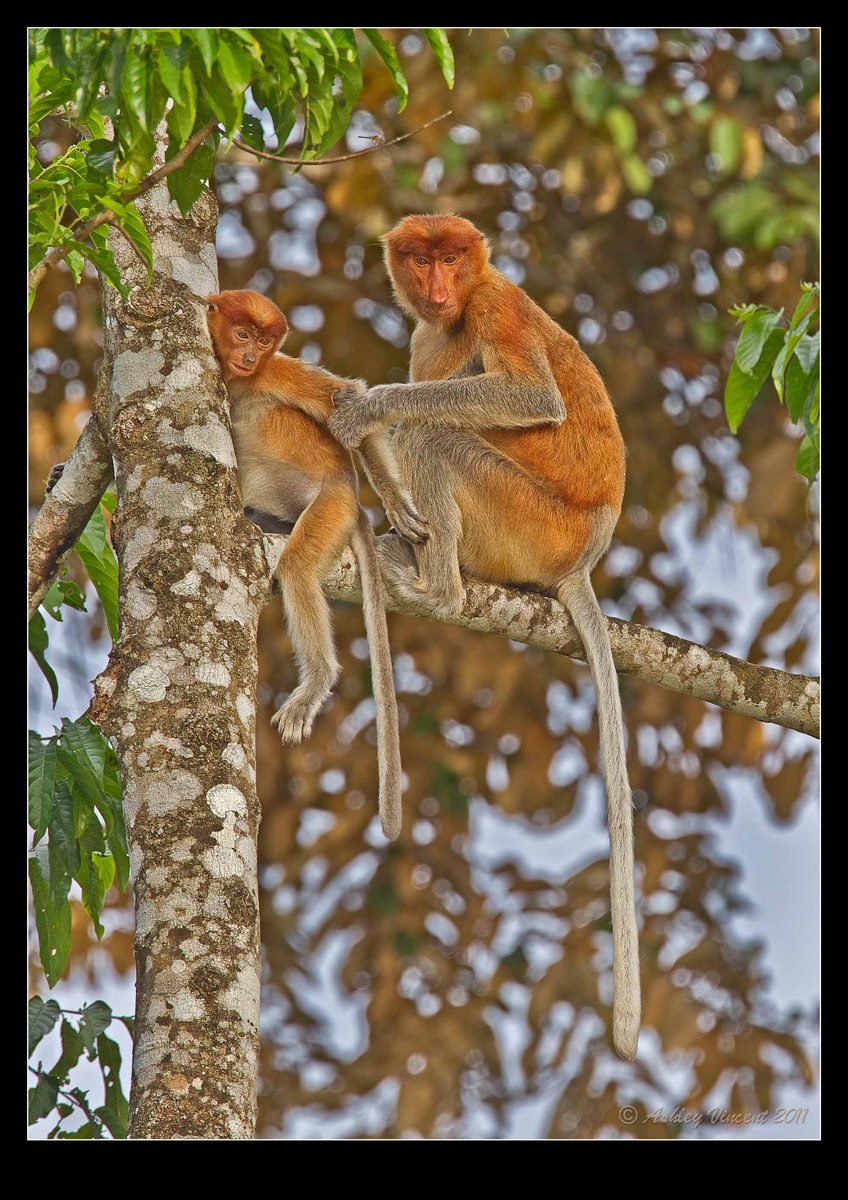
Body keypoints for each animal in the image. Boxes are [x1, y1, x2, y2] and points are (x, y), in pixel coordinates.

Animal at [203, 289, 429, 842]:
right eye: (243, 334)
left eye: (265, 343)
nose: (249, 355)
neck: (241, 380)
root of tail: (351, 498)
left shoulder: (276, 372)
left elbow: (346, 400)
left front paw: (399, 506)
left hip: (330, 506)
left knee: (299, 568)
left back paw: (317, 680)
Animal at [328, 215, 640, 1060]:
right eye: (420, 258)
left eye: (452, 257)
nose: (437, 286)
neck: (458, 311)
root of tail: (586, 552)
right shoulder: (426, 333)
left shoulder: (497, 308)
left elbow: (527, 396)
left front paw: (365, 409)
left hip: (531, 522)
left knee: (441, 435)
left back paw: (434, 582)